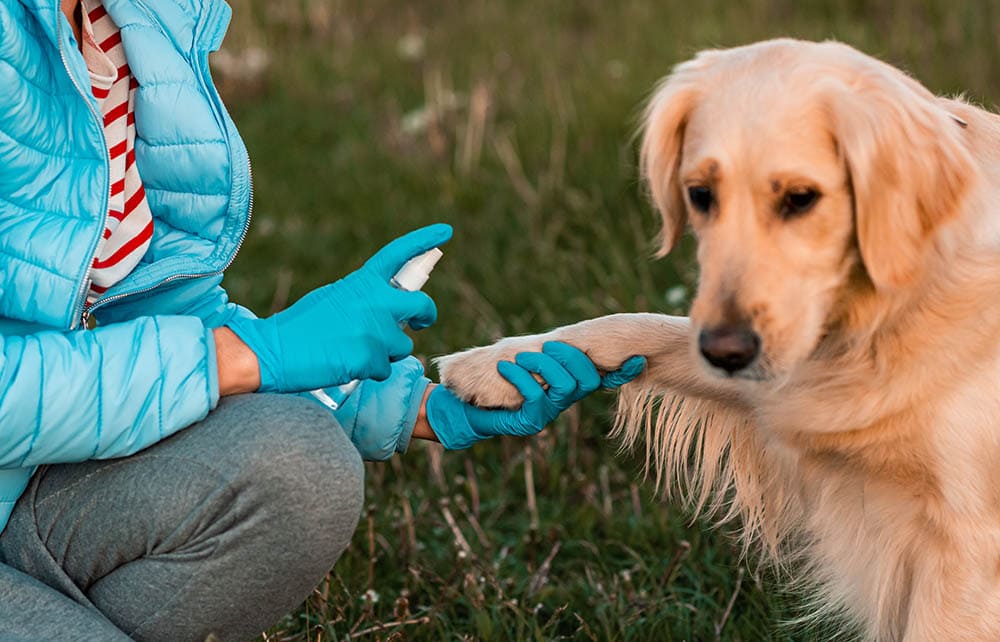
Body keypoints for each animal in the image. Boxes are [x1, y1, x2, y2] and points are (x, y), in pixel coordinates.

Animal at [434, 38, 1000, 636]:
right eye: (701, 195)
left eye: (801, 198)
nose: (725, 352)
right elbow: (638, 325)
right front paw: (497, 366)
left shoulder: (967, 546)